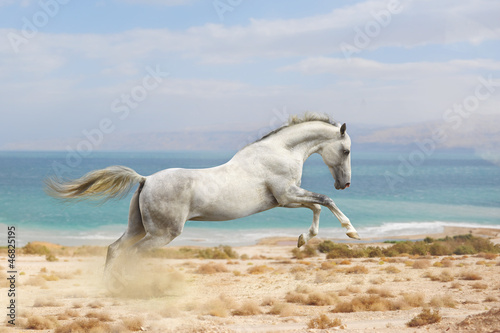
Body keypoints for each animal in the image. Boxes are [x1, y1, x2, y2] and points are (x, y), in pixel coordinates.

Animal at [46, 113, 360, 282]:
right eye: (345, 150)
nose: (344, 184)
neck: (279, 152)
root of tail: (145, 179)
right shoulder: (286, 196)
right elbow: (324, 201)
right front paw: (351, 231)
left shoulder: (287, 198)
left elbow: (317, 207)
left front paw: (303, 239)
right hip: (162, 234)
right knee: (131, 254)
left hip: (138, 227)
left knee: (114, 249)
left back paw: (109, 286)